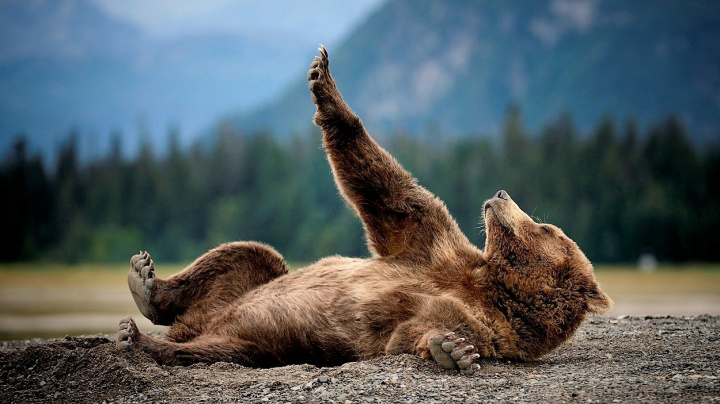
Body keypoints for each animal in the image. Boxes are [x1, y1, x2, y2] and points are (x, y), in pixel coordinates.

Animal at [115, 45, 612, 374]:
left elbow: (418, 330)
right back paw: (146, 283)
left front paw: (451, 349)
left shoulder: (485, 322)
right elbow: (390, 193)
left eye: (547, 229)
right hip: (245, 291)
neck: (493, 284)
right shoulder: (431, 244)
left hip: (263, 342)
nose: (503, 194)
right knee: (251, 255)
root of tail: (196, 325)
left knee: (218, 349)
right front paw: (322, 77)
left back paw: (142, 340)